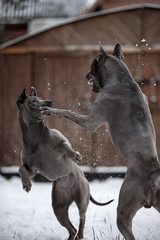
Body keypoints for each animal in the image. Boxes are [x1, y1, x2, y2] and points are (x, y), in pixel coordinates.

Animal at [40, 43, 160, 240]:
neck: (122, 79)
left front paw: (50, 110)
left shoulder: (92, 121)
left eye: (91, 66)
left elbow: (67, 112)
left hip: (123, 212)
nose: (85, 75)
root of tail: (153, 172)